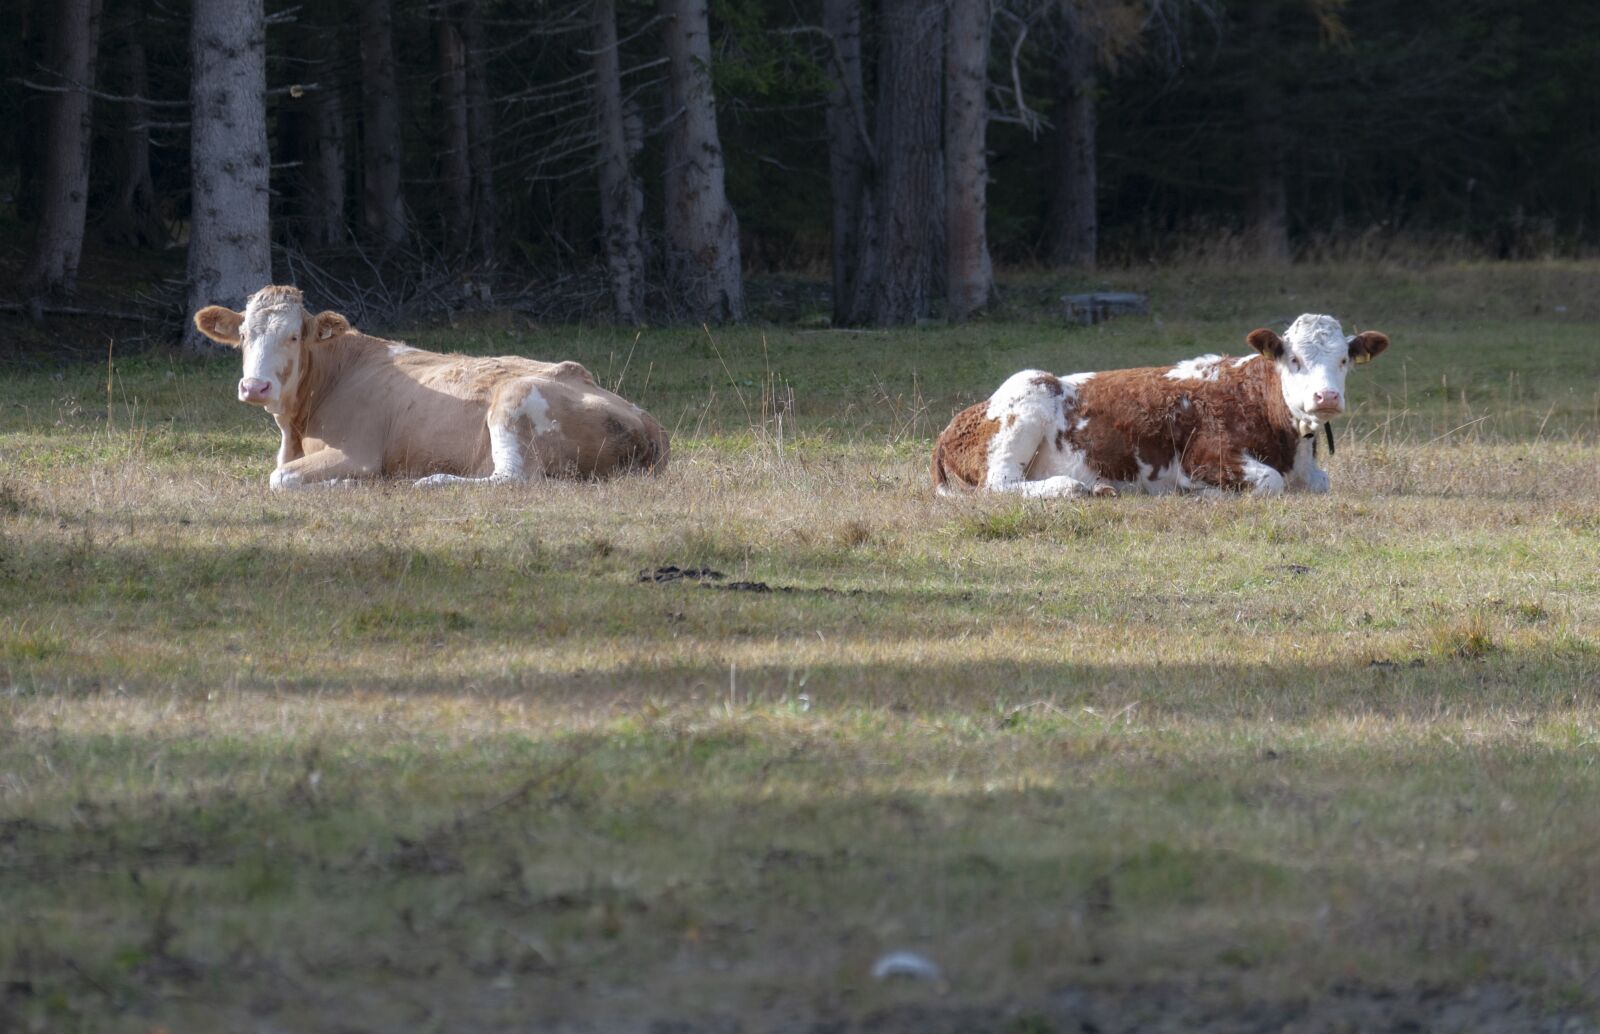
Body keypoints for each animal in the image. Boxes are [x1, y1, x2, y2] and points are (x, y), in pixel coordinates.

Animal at [195, 284, 668, 492]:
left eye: (294, 336)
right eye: (243, 335)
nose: (255, 386)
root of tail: (648, 422)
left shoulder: (358, 452)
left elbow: (280, 478)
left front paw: (352, 485)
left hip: (514, 400)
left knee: (515, 479)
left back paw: (430, 480)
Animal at [934, 312, 1395, 499]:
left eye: (1343, 360)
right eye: (1294, 359)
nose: (1326, 397)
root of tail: (959, 418)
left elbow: (1321, 482)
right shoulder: (1204, 457)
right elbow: (1269, 482)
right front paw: (1203, 495)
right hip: (1024, 401)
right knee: (1001, 485)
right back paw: (1075, 487)